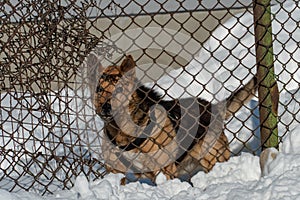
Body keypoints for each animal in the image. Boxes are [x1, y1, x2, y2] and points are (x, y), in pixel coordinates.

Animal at [94, 55, 258, 184]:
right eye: (99, 90)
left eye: (119, 89)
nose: (106, 107)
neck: (123, 132)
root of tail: (213, 107)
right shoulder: (115, 171)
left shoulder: (164, 169)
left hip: (212, 157)